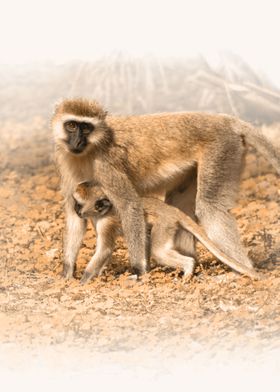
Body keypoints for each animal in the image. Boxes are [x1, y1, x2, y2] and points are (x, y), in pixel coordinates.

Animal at [72, 182, 260, 284]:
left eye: (78, 204)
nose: (75, 211)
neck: (103, 210)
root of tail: (171, 210)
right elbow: (105, 251)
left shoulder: (106, 223)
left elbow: (104, 249)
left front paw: (83, 281)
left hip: (165, 224)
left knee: (159, 251)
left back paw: (188, 267)